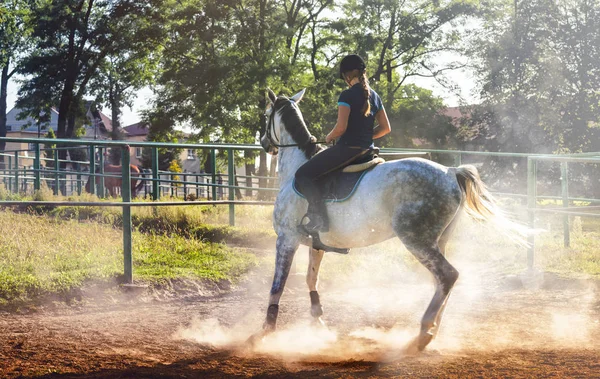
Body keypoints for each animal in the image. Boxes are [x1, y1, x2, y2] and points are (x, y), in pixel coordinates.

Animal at [250, 88, 528, 354]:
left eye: (265, 115)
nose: (264, 144)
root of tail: (451, 172)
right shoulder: (316, 244)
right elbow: (311, 279)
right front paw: (319, 323)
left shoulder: (286, 238)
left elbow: (277, 286)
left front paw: (265, 331)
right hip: (438, 241)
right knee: (442, 281)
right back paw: (432, 331)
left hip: (416, 240)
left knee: (448, 275)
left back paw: (424, 332)